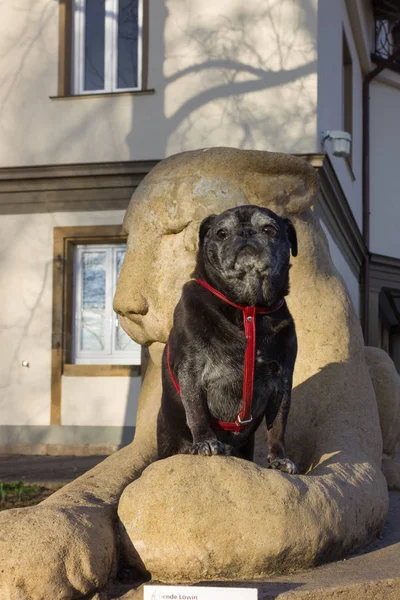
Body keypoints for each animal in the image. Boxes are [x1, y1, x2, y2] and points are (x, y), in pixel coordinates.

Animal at [158, 206, 298, 474]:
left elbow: (278, 427)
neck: (248, 308)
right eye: (221, 233)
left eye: (270, 229)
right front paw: (205, 441)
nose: (245, 232)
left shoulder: (282, 380)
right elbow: (196, 410)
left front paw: (279, 459)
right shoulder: (190, 370)